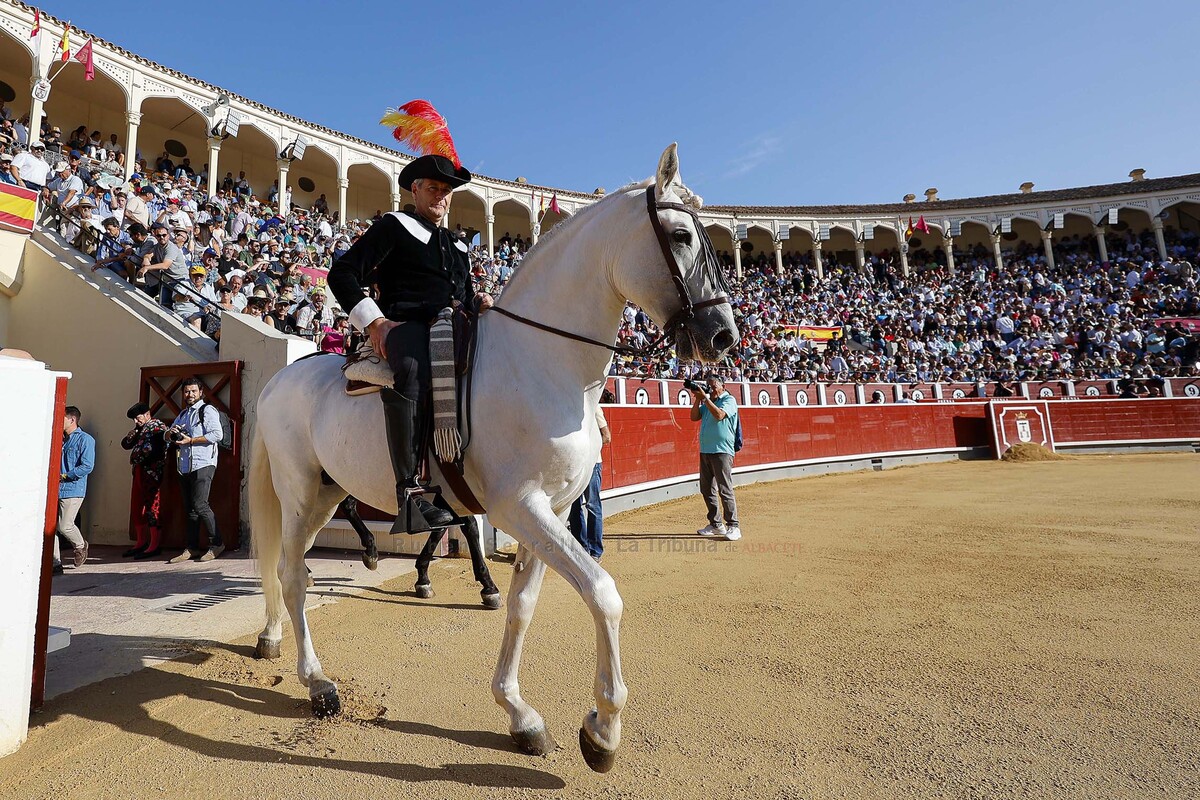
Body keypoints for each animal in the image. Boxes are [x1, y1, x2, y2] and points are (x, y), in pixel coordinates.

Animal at [252, 142, 734, 767]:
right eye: (679, 235)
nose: (725, 334)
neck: (543, 361)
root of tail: (279, 379)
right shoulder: (518, 506)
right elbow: (603, 593)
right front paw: (602, 730)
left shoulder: (552, 510)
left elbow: (523, 603)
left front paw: (520, 714)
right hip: (300, 490)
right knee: (291, 573)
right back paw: (317, 683)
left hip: (327, 496)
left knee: (292, 568)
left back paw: (274, 638)